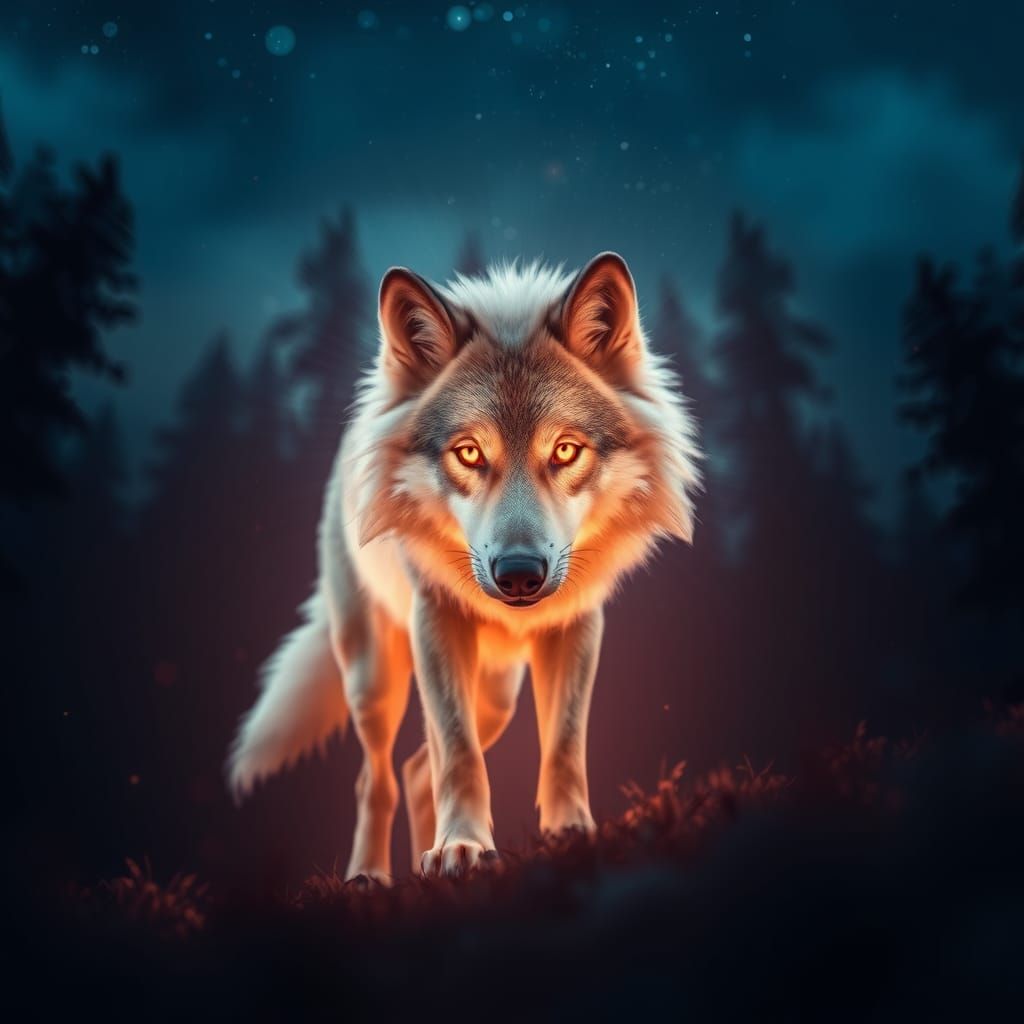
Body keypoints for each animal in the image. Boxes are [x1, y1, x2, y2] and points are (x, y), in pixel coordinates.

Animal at [227, 252, 701, 880]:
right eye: (469, 452)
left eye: (566, 450)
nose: (519, 573)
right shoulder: (436, 622)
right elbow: (458, 751)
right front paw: (464, 846)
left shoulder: (577, 626)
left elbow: (563, 745)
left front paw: (570, 835)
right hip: (374, 678)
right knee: (376, 778)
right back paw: (368, 878)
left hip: (496, 697)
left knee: (414, 771)